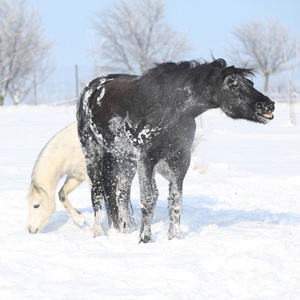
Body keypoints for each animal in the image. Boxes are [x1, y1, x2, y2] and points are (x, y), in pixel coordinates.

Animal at [77, 59, 274, 244]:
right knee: (97, 191)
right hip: (93, 152)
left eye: (250, 83)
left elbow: (175, 200)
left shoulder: (180, 159)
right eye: (233, 84)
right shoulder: (146, 159)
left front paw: (175, 237)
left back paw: (125, 230)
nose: (268, 105)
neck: (169, 109)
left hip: (127, 160)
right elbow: (147, 199)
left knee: (121, 193)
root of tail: (91, 88)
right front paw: (145, 239)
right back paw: (98, 231)